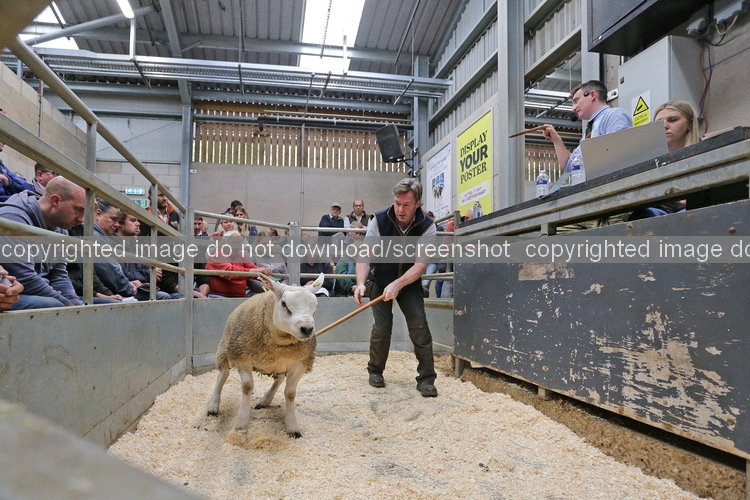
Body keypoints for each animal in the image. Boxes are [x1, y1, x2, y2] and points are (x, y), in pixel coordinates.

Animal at [206, 274, 324, 438]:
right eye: (284, 304)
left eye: (315, 307)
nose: (307, 329)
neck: (280, 343)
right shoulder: (243, 358)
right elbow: (247, 387)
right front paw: (241, 424)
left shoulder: (300, 364)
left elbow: (290, 393)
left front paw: (292, 427)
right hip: (226, 349)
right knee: (222, 376)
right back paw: (213, 406)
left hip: (278, 365)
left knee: (278, 379)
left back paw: (265, 401)